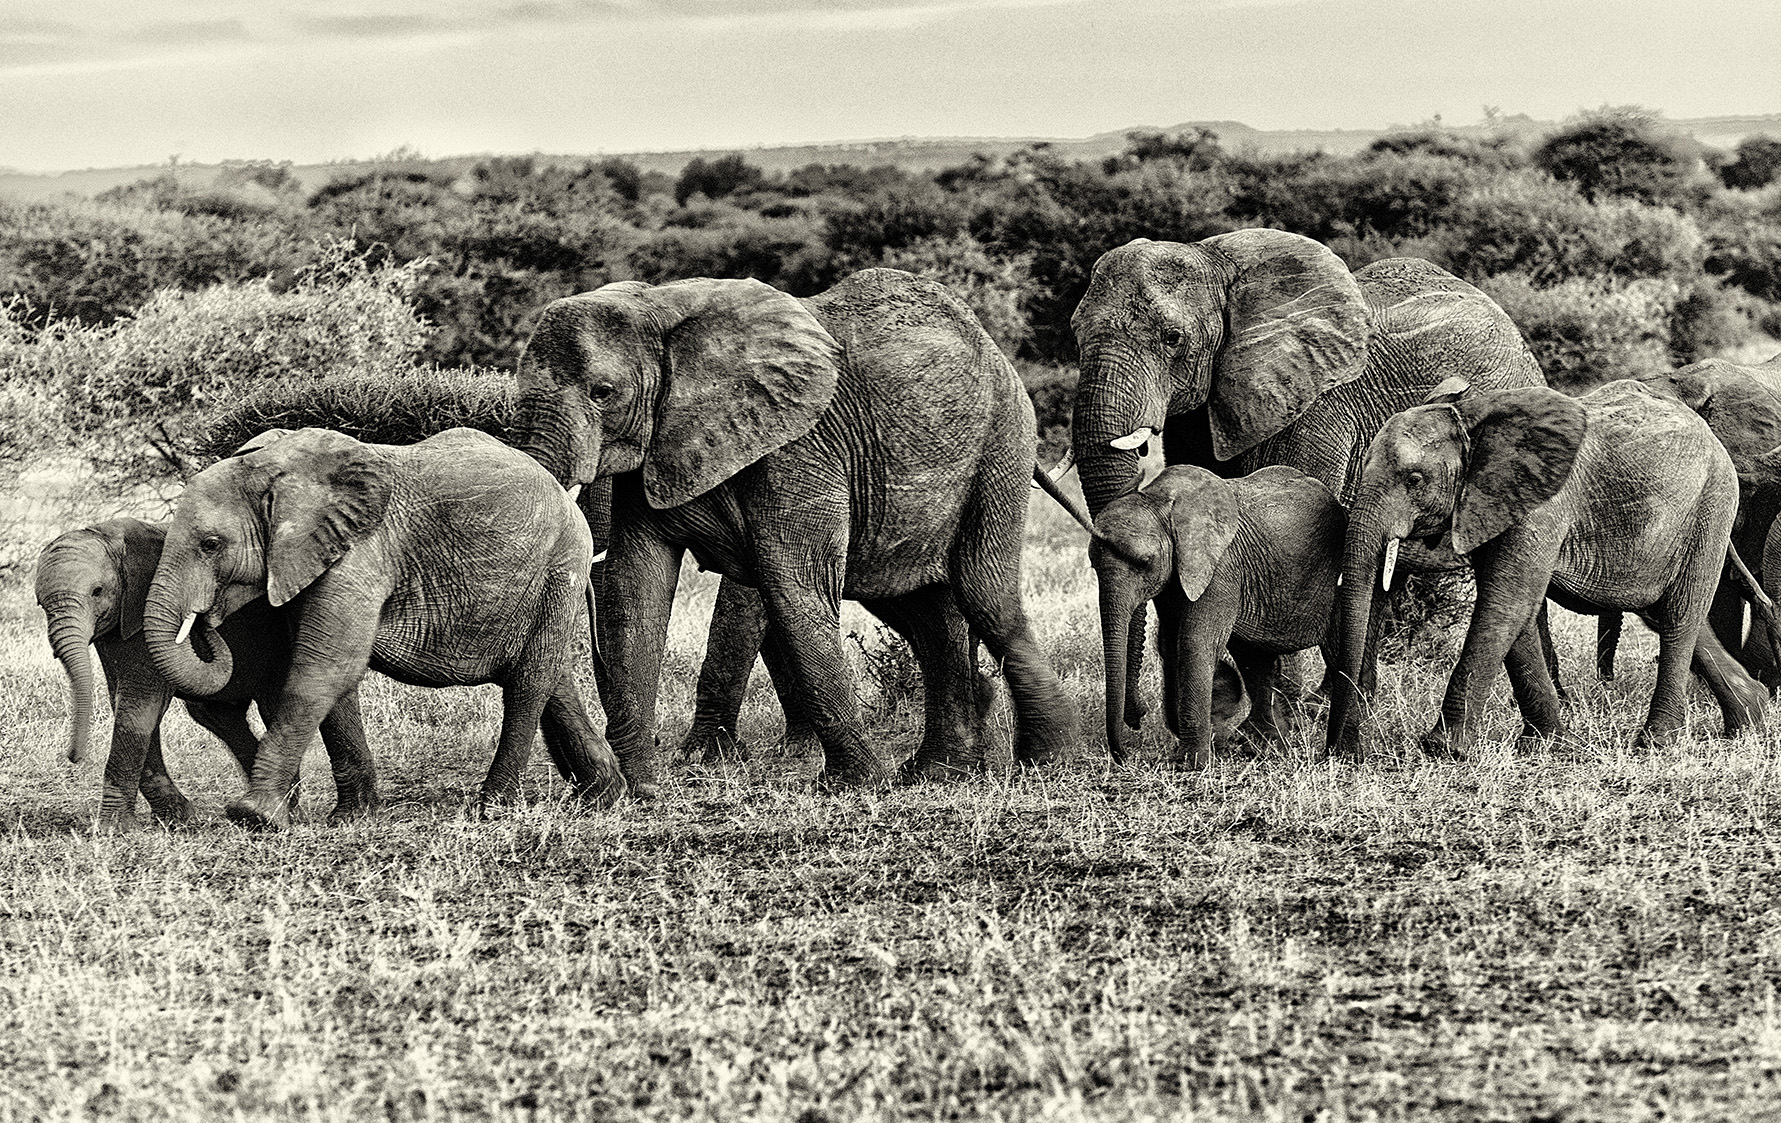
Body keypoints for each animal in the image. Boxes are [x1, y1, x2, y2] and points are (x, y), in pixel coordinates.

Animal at [33, 518, 376, 826]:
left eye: (97, 591)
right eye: (40, 604)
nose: (74, 757)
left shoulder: (144, 609)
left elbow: (138, 706)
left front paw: (112, 830)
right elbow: (128, 704)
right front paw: (181, 820)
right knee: (215, 714)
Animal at [141, 427, 628, 830]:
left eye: (210, 544)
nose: (205, 619)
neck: (279, 470)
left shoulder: (360, 553)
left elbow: (325, 667)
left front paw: (256, 817)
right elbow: (334, 674)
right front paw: (351, 817)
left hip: (560, 568)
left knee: (529, 683)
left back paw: (493, 808)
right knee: (553, 677)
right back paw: (604, 798)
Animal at [511, 269, 1078, 794]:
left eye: (602, 392)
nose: (595, 782)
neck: (662, 305)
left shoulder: (798, 446)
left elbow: (793, 587)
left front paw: (852, 785)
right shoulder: (658, 448)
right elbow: (636, 589)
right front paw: (643, 788)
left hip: (1002, 443)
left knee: (985, 593)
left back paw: (1045, 762)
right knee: (924, 609)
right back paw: (937, 773)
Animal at [1080, 464, 1344, 768]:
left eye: (1145, 562)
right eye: (1093, 564)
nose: (1124, 755)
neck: (1161, 502)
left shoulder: (1220, 569)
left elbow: (1195, 643)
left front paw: (1189, 764)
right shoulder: (1177, 577)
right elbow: (1170, 643)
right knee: (1254, 658)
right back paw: (1262, 746)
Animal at [1329, 378, 1767, 759]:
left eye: (1415, 479)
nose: (1346, 753)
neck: (1474, 420)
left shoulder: (1539, 506)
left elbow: (1505, 602)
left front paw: (1445, 750)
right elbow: (1516, 612)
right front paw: (1548, 744)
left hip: (1712, 504)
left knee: (1679, 616)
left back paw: (1656, 744)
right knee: (1669, 613)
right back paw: (1749, 719)